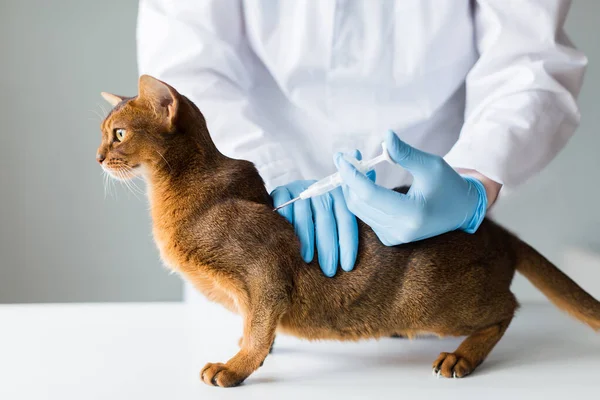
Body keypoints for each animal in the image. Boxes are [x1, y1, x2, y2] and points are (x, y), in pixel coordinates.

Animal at [98, 76, 600, 388]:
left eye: (119, 134)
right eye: (103, 133)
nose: (98, 157)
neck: (179, 194)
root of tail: (490, 226)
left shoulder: (264, 273)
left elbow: (258, 328)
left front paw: (236, 367)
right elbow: (254, 325)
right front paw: (248, 347)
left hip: (435, 302)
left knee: (506, 309)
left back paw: (460, 357)